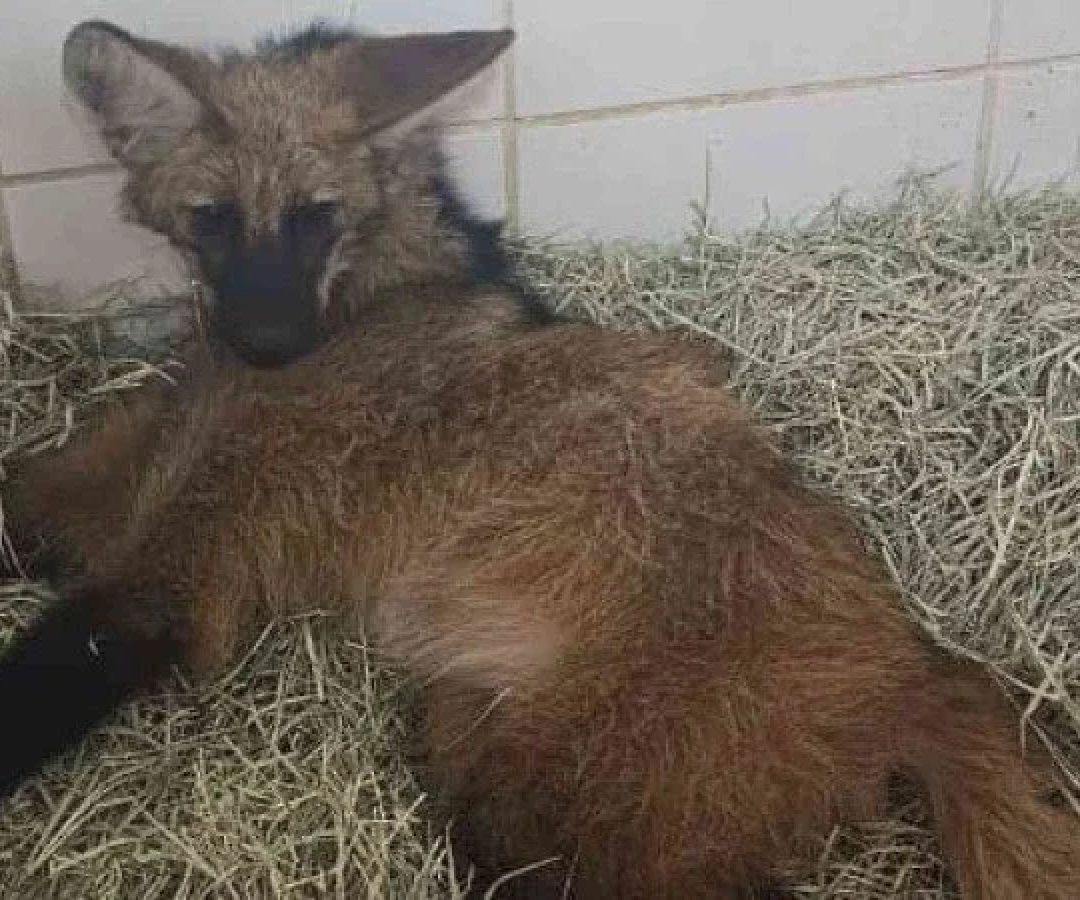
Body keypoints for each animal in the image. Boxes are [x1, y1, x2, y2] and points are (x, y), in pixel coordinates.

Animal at [1, 18, 1078, 899]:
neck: (370, 296)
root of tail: (916, 663)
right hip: (482, 744)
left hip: (573, 801)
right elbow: (28, 496)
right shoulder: (131, 471)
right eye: (213, 217)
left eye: (316, 215)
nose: (269, 340)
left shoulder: (180, 571)